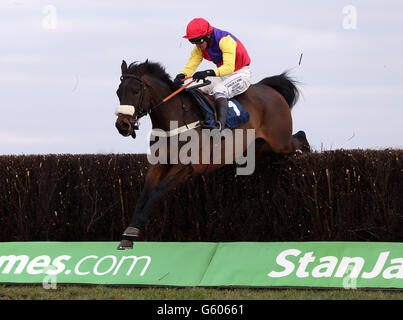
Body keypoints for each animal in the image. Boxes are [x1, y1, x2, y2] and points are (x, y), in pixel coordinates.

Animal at [115, 60, 310, 250]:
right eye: (118, 92)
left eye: (135, 91)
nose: (122, 125)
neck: (174, 121)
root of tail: (268, 88)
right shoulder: (159, 164)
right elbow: (143, 196)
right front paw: (128, 235)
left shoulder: (185, 167)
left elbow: (156, 192)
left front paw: (132, 231)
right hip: (258, 147)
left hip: (279, 141)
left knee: (299, 136)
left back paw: (306, 152)